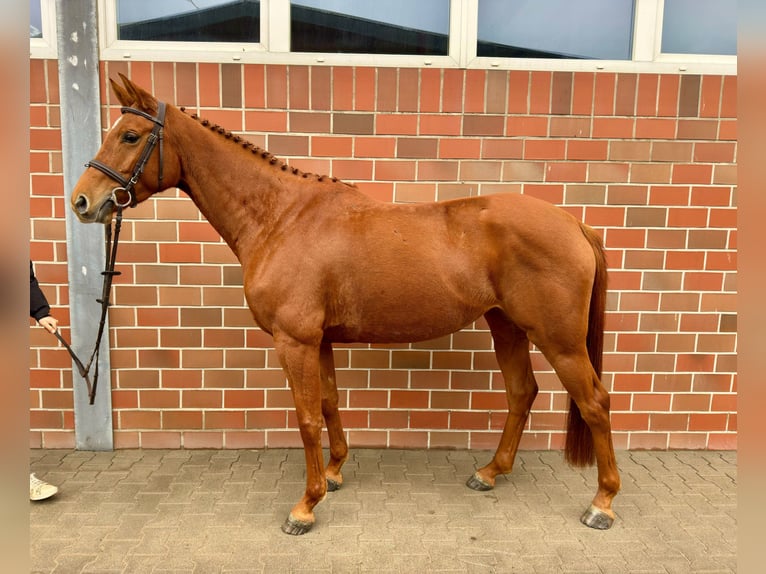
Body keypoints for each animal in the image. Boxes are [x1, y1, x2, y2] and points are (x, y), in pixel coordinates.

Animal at [71, 74, 620, 535]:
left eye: (130, 136)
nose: (81, 201)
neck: (281, 217)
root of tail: (573, 222)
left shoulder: (294, 341)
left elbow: (306, 418)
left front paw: (305, 506)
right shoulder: (320, 340)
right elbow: (330, 403)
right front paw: (334, 474)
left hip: (559, 339)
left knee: (594, 402)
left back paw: (602, 503)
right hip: (506, 324)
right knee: (522, 393)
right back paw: (489, 472)